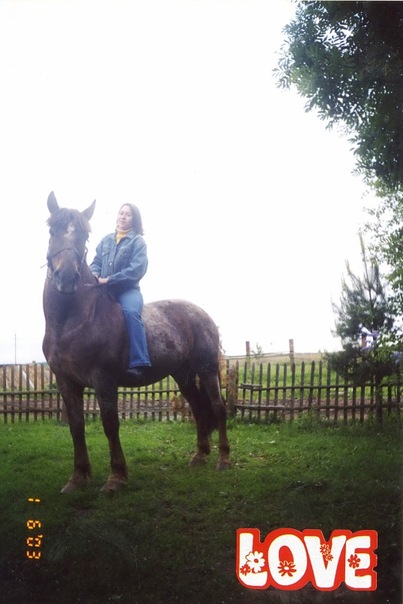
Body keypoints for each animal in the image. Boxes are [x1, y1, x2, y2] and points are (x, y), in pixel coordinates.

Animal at [43, 191, 230, 493]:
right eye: (52, 231)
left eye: (84, 235)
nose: (67, 277)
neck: (72, 321)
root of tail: (201, 314)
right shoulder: (66, 382)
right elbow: (76, 427)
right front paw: (78, 477)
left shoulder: (104, 381)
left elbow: (110, 425)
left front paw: (116, 478)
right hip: (183, 376)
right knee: (199, 409)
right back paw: (199, 456)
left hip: (207, 369)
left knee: (217, 408)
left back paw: (224, 460)